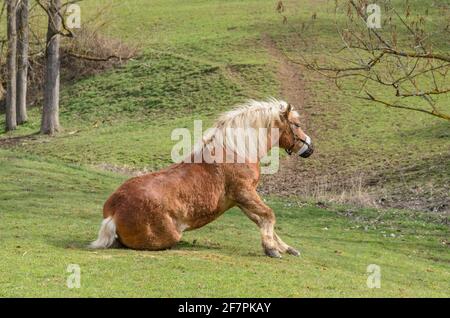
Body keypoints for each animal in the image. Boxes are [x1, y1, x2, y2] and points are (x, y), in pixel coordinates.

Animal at [89, 98, 314, 258]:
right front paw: (271, 249)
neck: (235, 152)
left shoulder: (238, 200)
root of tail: (113, 212)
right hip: (170, 236)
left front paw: (286, 248)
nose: (310, 147)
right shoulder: (244, 193)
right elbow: (269, 215)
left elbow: (260, 220)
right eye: (297, 124)